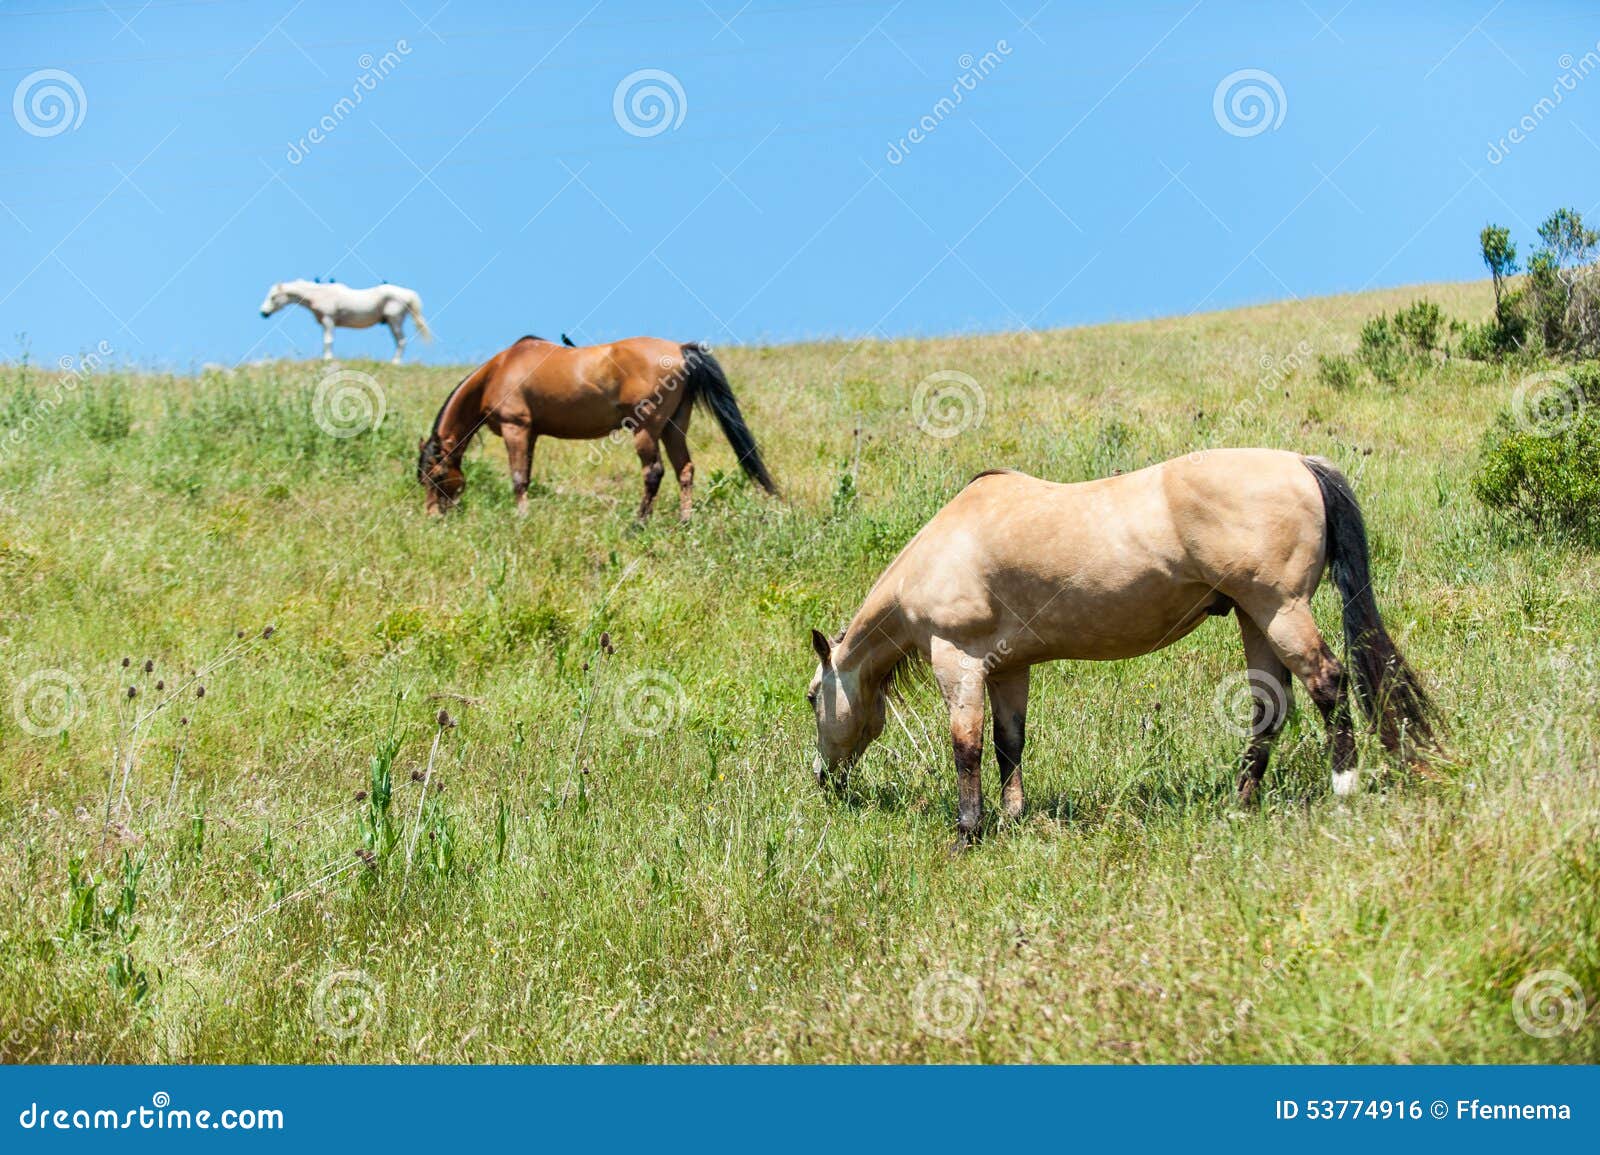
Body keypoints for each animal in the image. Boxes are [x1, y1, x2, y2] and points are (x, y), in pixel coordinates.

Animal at [258, 279, 431, 364]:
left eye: (273, 297)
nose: (263, 313)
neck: (318, 294)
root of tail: (410, 294)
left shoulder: (329, 319)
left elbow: (328, 340)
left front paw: (327, 359)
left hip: (394, 320)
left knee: (401, 341)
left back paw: (395, 362)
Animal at [416, 335, 777, 521]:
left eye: (436, 475)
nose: (433, 515)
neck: (499, 370)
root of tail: (679, 349)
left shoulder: (515, 428)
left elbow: (518, 478)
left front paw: (521, 518)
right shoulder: (531, 433)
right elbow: (527, 475)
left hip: (646, 428)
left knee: (654, 472)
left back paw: (638, 523)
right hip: (674, 425)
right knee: (684, 469)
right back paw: (685, 521)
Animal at [806, 449, 1437, 844]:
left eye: (814, 697)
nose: (821, 779)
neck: (944, 548)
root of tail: (1300, 463)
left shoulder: (957, 661)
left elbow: (967, 747)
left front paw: (968, 832)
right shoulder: (1009, 669)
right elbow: (1011, 745)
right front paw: (1012, 818)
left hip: (1280, 611)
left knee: (1328, 683)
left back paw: (1343, 788)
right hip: (1256, 620)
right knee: (1270, 709)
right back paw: (1239, 805)